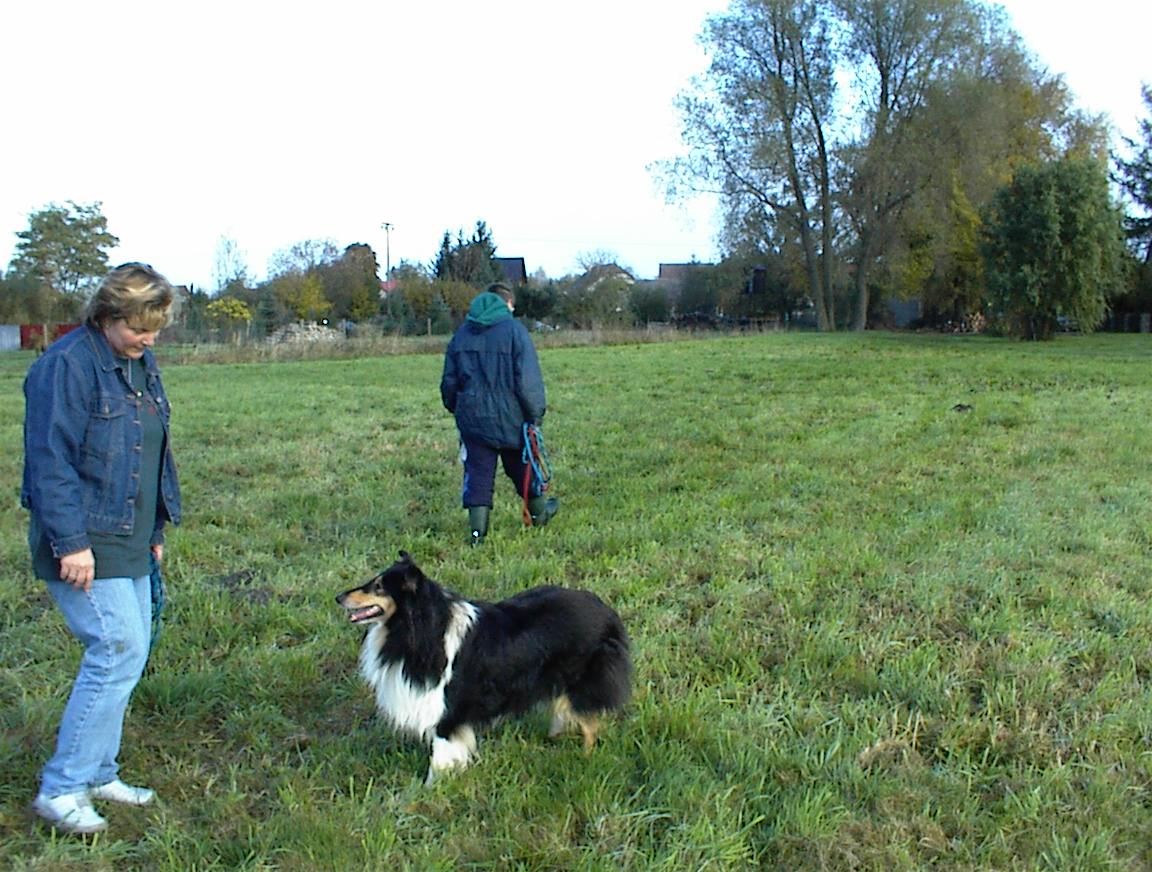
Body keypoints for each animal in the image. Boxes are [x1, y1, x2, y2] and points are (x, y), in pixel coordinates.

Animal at [336, 550, 635, 783]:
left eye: (378, 587)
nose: (338, 597)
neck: (421, 627)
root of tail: (608, 612)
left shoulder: (448, 710)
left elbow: (439, 757)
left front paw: (429, 790)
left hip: (581, 679)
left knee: (590, 723)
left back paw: (586, 758)